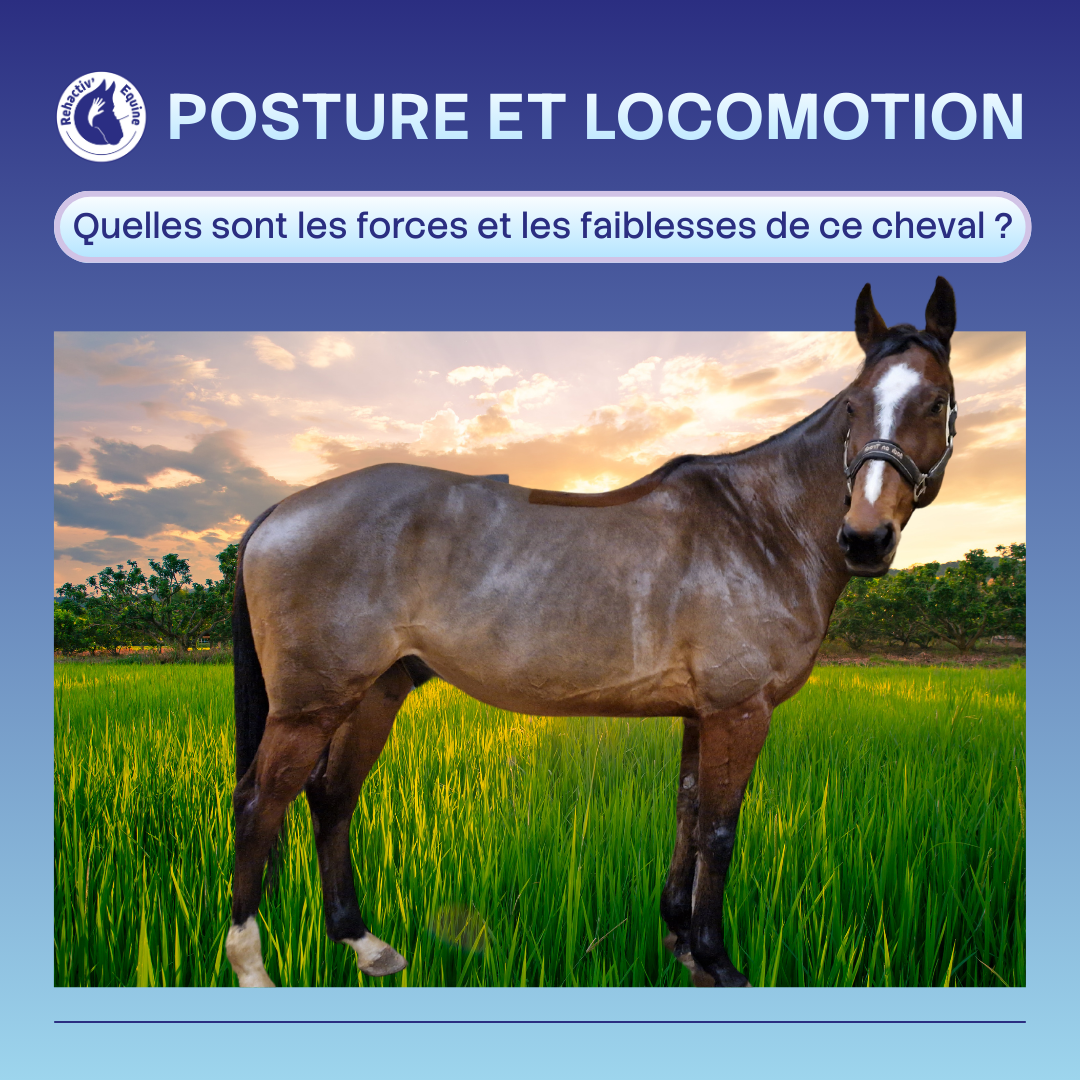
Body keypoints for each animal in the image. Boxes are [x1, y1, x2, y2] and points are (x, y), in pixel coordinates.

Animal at [225, 278, 958, 988]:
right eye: (854, 407)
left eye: (936, 403)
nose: (864, 538)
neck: (759, 526)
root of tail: (282, 509)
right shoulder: (740, 710)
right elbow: (720, 830)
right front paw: (718, 960)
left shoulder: (703, 713)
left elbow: (688, 812)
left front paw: (680, 942)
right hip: (310, 705)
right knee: (260, 803)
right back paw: (253, 967)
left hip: (374, 692)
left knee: (331, 797)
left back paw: (363, 944)